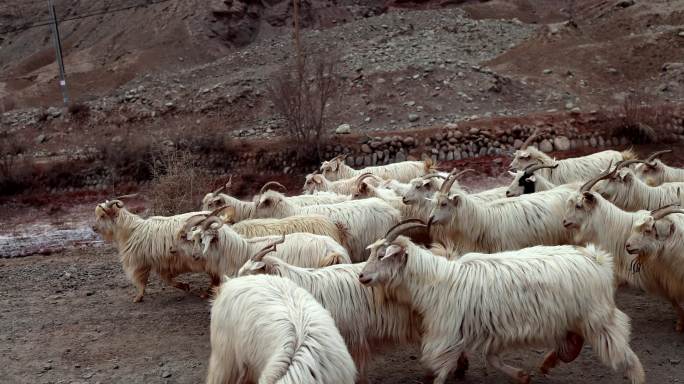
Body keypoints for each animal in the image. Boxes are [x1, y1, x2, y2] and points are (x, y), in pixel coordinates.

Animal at [358, 220, 648, 384]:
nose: (362, 277)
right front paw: (522, 376)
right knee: (575, 340)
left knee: (626, 356)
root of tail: (596, 259)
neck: (436, 280)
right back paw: (549, 361)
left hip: (598, 319)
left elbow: (440, 370)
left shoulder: (447, 335)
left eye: (382, 255)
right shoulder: (492, 331)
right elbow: (491, 359)